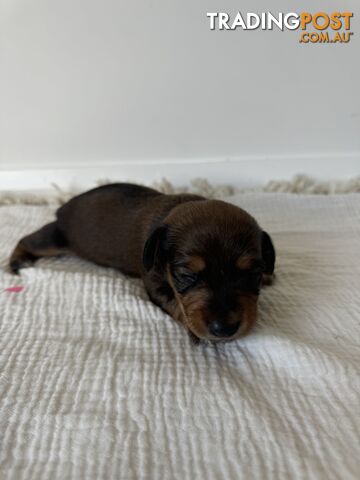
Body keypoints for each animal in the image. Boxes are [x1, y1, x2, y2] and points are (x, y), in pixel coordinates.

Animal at [9, 182, 276, 344]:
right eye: (186, 275)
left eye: (253, 274)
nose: (224, 330)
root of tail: (64, 206)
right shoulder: (155, 284)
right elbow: (174, 303)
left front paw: (269, 275)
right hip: (57, 237)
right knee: (27, 240)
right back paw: (16, 260)